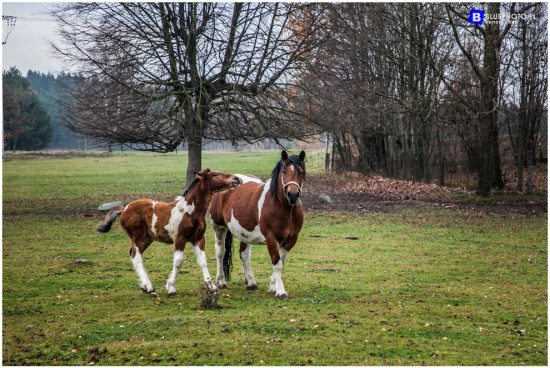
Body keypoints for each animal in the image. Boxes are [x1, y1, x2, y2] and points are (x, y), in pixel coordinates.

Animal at [96, 169, 242, 296]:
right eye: (216, 174)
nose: (236, 178)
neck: (189, 211)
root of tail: (124, 209)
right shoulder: (180, 239)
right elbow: (178, 261)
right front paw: (171, 288)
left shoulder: (199, 238)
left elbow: (203, 261)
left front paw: (212, 287)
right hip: (137, 237)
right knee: (137, 257)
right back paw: (150, 287)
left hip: (147, 239)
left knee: (132, 254)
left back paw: (144, 286)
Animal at [210, 150, 306, 300]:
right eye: (284, 172)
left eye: (301, 172)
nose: (293, 195)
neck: (284, 208)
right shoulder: (271, 238)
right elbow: (277, 263)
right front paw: (280, 292)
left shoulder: (291, 240)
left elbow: (281, 262)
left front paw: (273, 288)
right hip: (219, 227)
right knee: (220, 252)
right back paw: (221, 282)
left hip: (245, 232)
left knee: (244, 255)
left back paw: (251, 283)